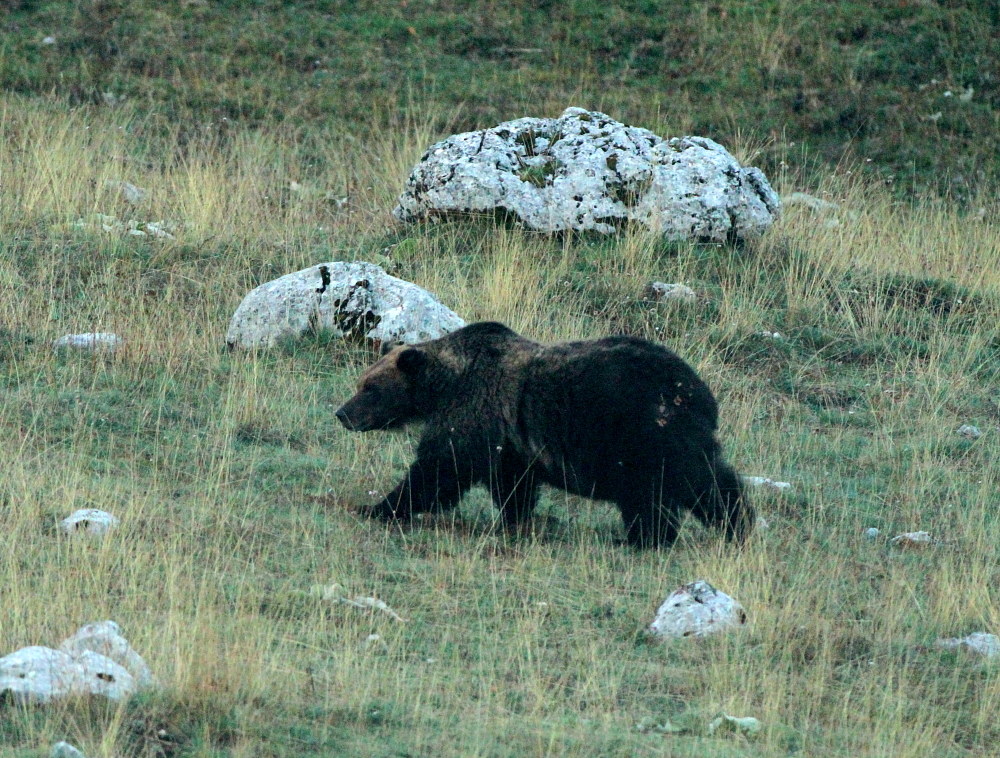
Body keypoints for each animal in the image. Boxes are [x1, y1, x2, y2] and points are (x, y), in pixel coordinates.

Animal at [335, 321, 751, 549]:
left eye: (369, 388)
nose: (342, 413)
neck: (446, 382)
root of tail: (700, 391)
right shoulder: (510, 442)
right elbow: (512, 485)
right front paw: (514, 520)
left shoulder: (475, 408)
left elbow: (441, 469)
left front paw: (381, 507)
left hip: (643, 432)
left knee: (684, 485)